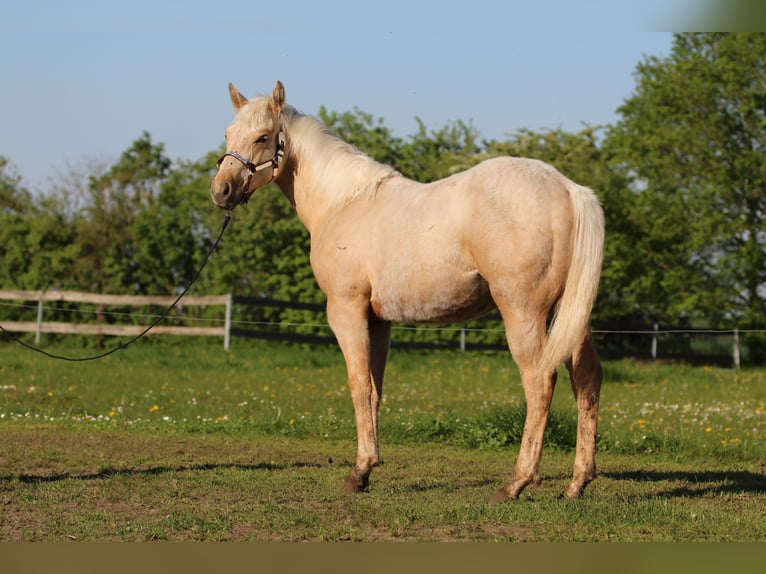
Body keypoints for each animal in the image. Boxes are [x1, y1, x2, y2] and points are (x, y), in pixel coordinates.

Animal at [212, 82, 608, 504]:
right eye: (228, 134)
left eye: (263, 137)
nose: (221, 191)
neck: (343, 202)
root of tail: (569, 189)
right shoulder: (379, 321)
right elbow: (374, 390)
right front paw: (368, 468)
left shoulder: (346, 310)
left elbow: (358, 385)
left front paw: (357, 472)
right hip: (570, 316)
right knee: (587, 380)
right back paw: (577, 483)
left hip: (524, 313)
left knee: (539, 382)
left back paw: (517, 482)